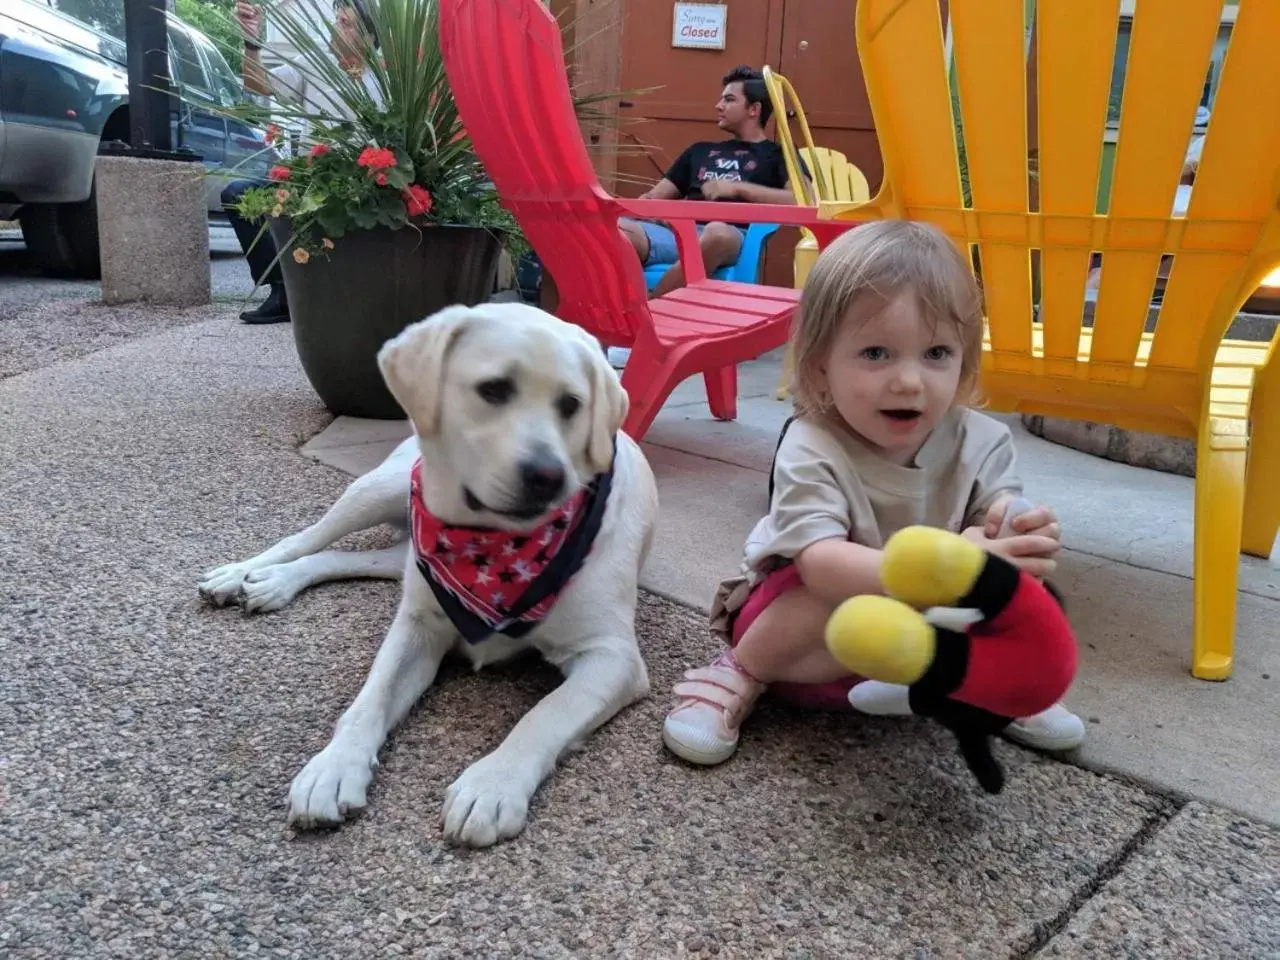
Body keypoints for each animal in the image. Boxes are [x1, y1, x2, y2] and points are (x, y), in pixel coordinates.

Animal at [202, 304, 660, 844]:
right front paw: (333, 768)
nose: (550, 477)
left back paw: (277, 582)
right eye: (494, 389)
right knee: (306, 538)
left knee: (349, 559)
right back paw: (245, 573)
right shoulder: (419, 625)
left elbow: (545, 714)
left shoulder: (612, 657)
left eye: (571, 404)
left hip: (407, 553)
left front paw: (493, 783)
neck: (492, 548)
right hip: (382, 488)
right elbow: (370, 698)